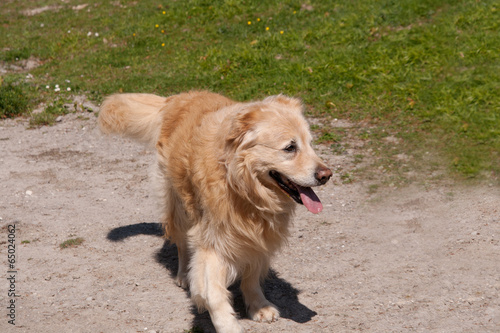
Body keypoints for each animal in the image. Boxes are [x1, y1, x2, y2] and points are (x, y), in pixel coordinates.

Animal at [97, 89, 332, 330]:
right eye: (290, 147)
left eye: (311, 144)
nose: (327, 175)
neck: (242, 187)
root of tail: (177, 98)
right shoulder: (213, 242)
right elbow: (213, 293)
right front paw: (227, 325)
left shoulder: (258, 238)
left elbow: (252, 276)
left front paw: (258, 306)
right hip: (179, 206)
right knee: (183, 245)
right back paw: (184, 274)